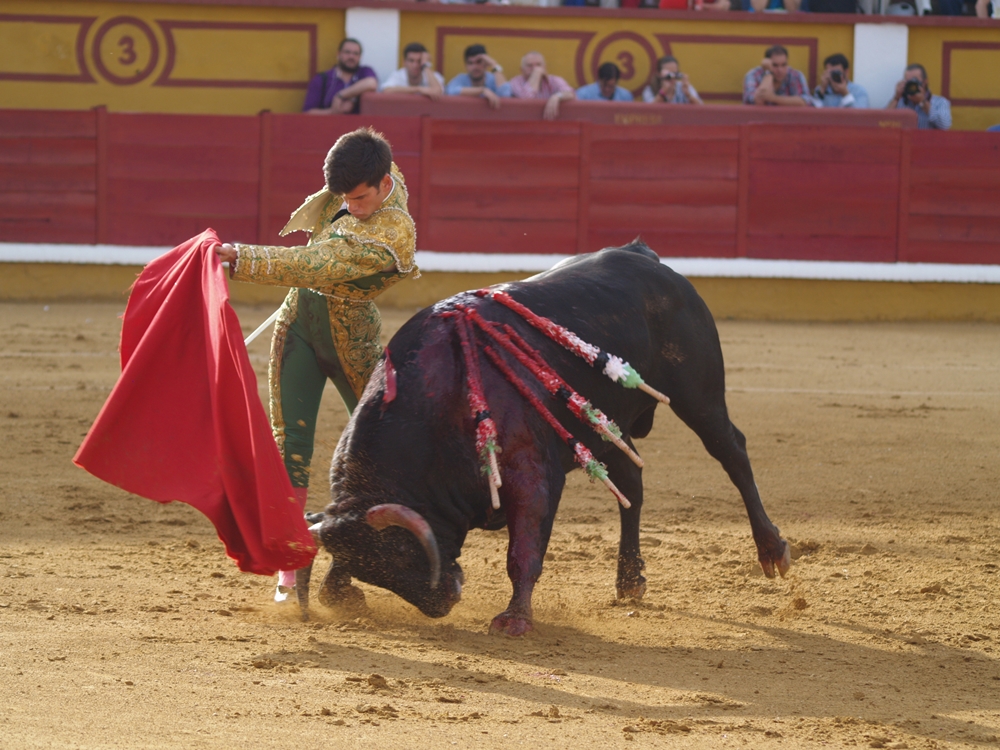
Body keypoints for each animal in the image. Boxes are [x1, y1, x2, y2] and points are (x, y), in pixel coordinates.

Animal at [296, 244, 788, 636]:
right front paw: (338, 592)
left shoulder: (530, 476)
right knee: (631, 485)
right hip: (605, 424)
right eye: (379, 567)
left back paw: (773, 551)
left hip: (698, 394)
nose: (443, 603)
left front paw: (514, 619)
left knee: (731, 452)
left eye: (401, 553)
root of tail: (645, 256)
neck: (439, 405)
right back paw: (629, 580)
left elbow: (524, 550)